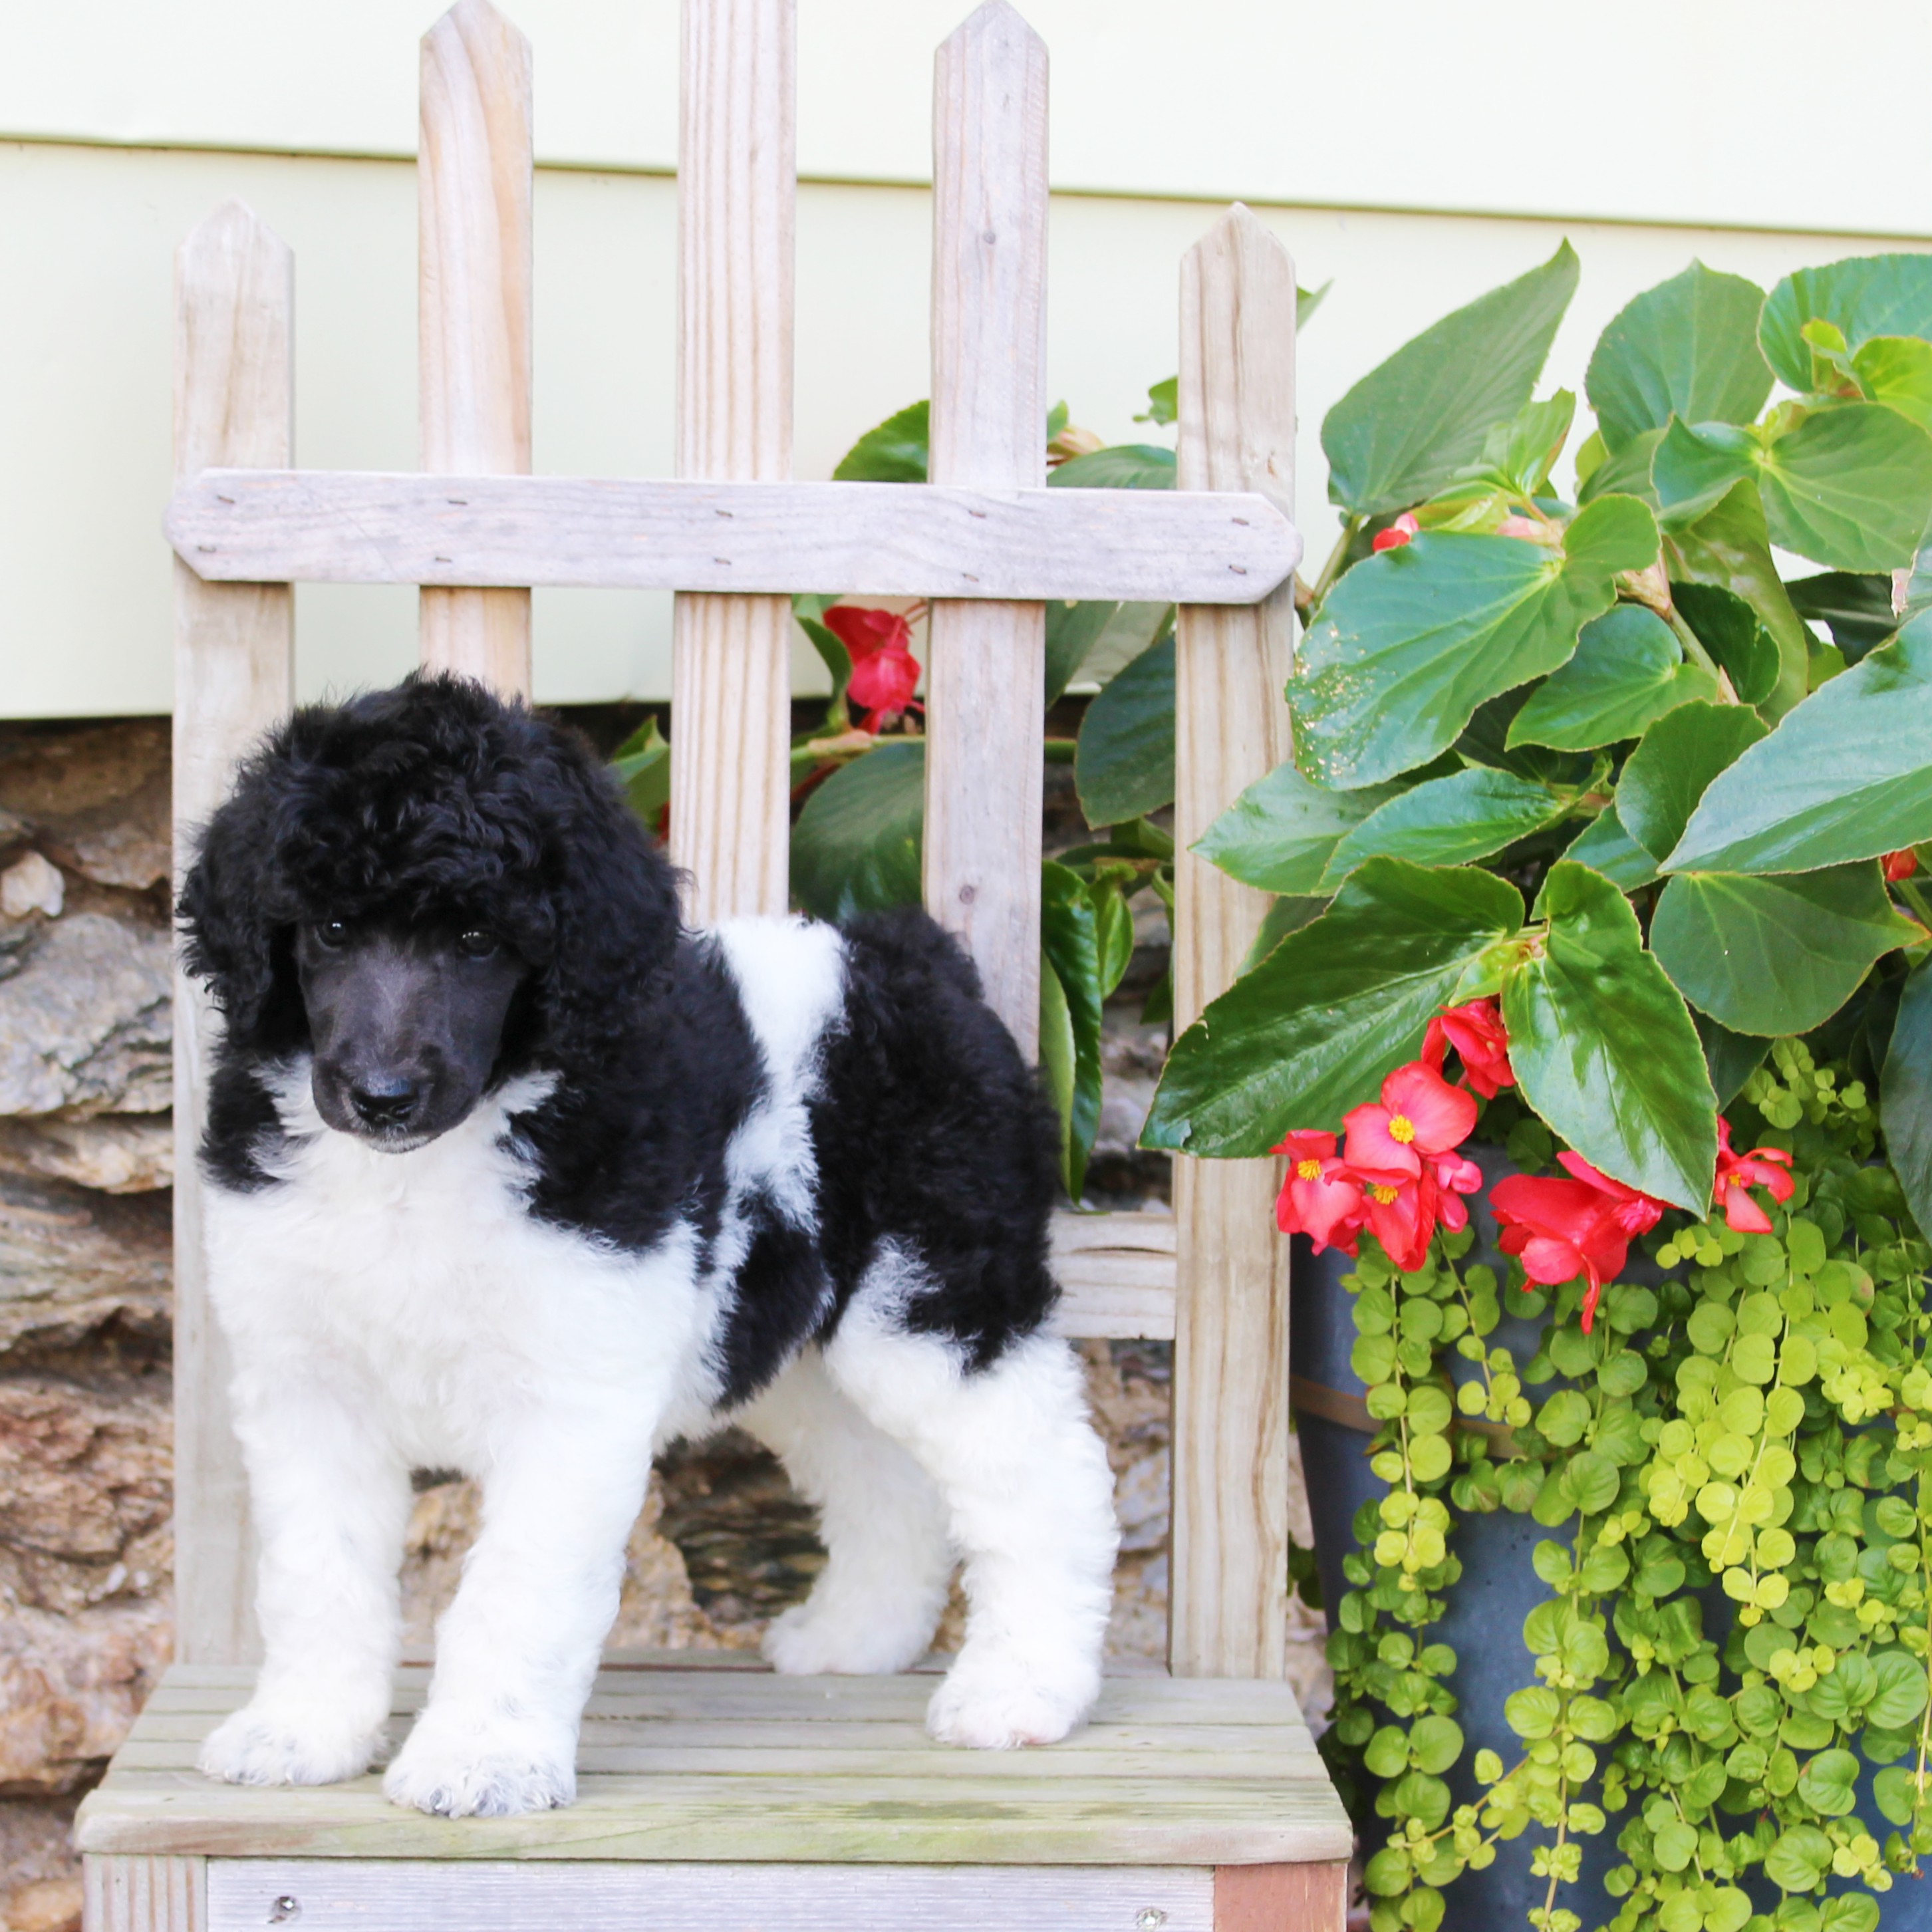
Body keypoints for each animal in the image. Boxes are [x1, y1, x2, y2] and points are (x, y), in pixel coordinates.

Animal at [184, 676, 1120, 1808]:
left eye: (479, 941)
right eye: (327, 928)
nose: (384, 1094)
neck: (423, 1167)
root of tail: (904, 957)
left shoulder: (569, 1395)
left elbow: (515, 1589)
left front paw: (480, 1759)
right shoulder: (306, 1386)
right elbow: (317, 1575)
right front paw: (302, 1731)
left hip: (933, 1296)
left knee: (1044, 1474)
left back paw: (1023, 1691)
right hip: (791, 1339)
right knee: (882, 1479)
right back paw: (859, 1638)